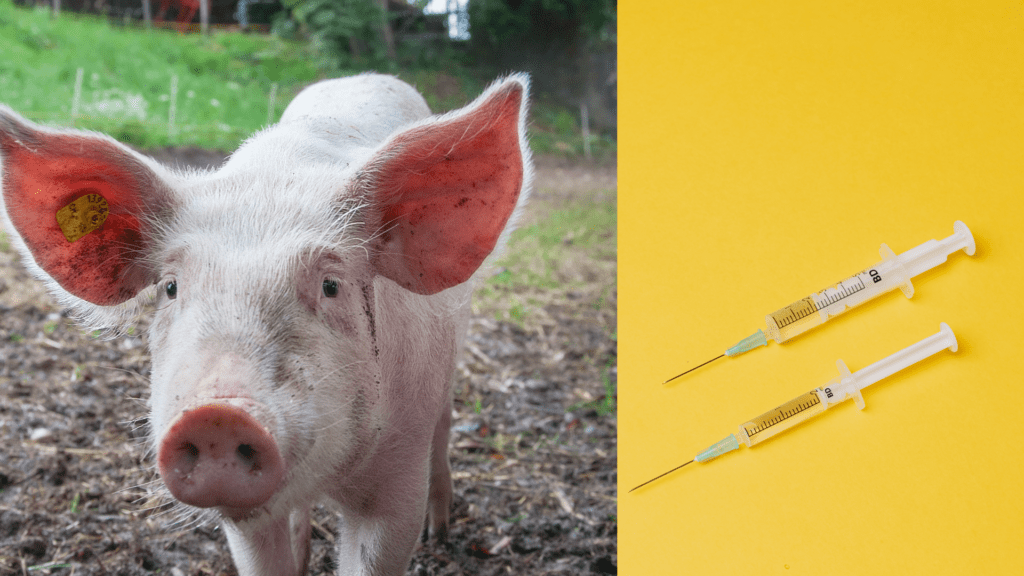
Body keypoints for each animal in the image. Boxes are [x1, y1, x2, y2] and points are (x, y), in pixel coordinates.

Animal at [0, 73, 531, 575]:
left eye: (331, 285)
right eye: (171, 287)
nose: (217, 415)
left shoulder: (398, 478)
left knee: (444, 428)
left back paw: (439, 532)